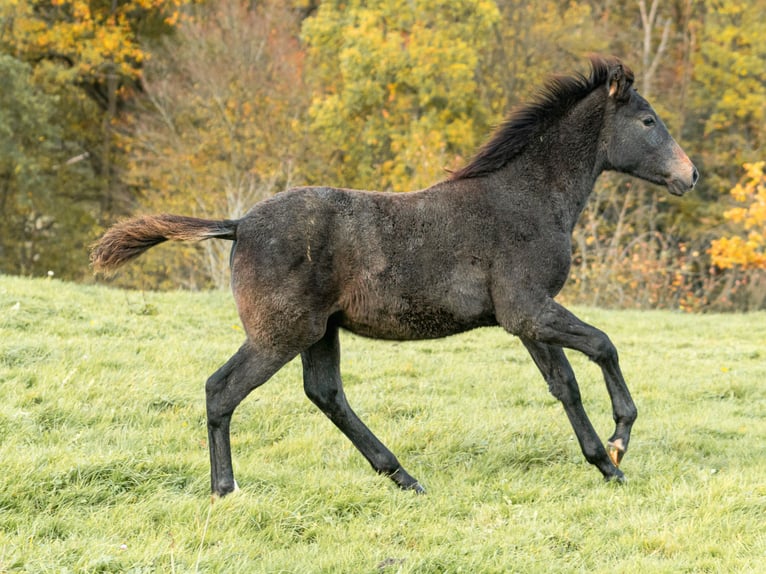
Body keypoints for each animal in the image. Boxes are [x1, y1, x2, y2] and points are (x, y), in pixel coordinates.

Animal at [91, 56, 698, 497]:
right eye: (648, 121)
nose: (690, 175)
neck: (528, 198)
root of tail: (238, 225)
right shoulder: (529, 308)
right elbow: (603, 346)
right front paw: (619, 443)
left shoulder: (525, 318)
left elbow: (563, 383)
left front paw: (605, 462)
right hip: (280, 334)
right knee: (222, 390)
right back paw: (226, 490)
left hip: (319, 332)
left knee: (326, 393)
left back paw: (404, 478)